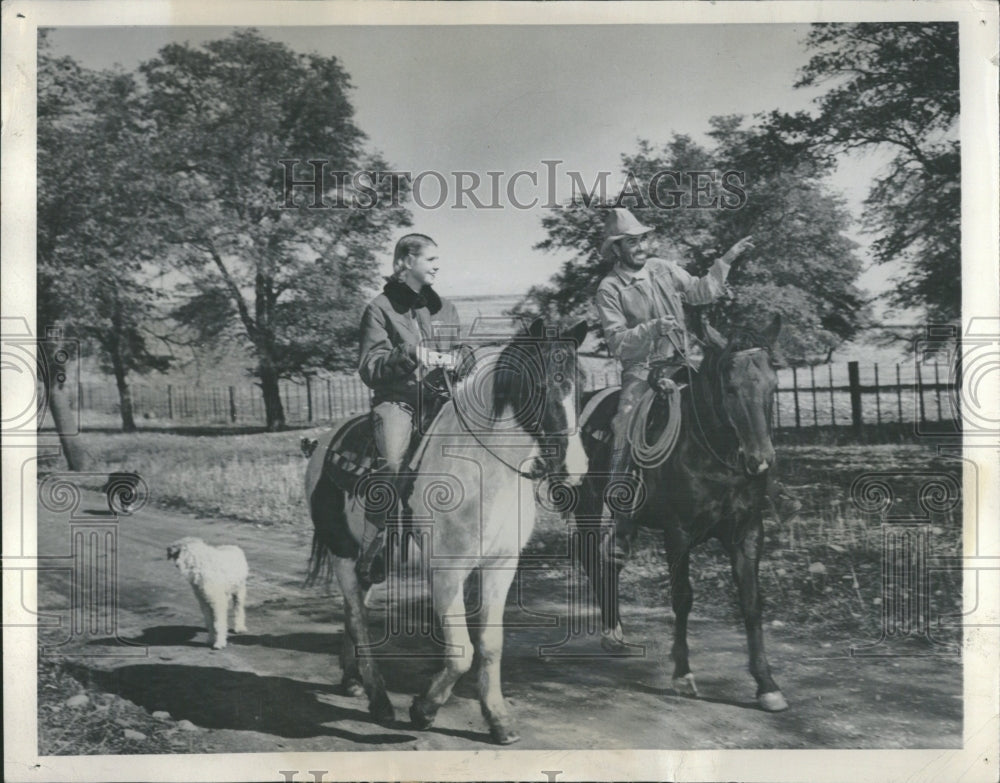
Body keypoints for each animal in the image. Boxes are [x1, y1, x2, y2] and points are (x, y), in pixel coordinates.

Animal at [302, 316, 584, 740]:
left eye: (579, 383)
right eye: (541, 384)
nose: (576, 468)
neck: (484, 469)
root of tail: (322, 444)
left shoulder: (500, 565)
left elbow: (490, 644)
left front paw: (498, 718)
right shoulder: (447, 572)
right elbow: (461, 651)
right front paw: (423, 709)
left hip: (370, 565)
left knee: (356, 613)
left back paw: (352, 679)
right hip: (344, 555)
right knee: (357, 619)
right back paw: (379, 699)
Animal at [580, 316, 788, 712]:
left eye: (774, 382)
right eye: (730, 387)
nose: (761, 460)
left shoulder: (748, 531)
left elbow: (751, 601)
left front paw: (767, 684)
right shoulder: (677, 532)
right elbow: (682, 596)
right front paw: (682, 674)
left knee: (610, 560)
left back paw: (615, 634)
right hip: (583, 507)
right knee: (592, 560)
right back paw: (611, 632)